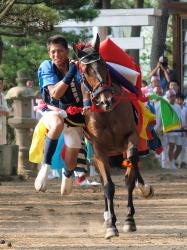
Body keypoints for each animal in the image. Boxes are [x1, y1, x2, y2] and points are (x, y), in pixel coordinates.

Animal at [73, 34, 153, 238]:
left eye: (103, 65)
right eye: (85, 71)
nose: (105, 100)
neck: (107, 114)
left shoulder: (131, 137)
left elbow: (130, 175)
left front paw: (129, 219)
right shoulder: (99, 148)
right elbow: (107, 185)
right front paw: (111, 224)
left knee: (133, 165)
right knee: (104, 181)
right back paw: (107, 216)